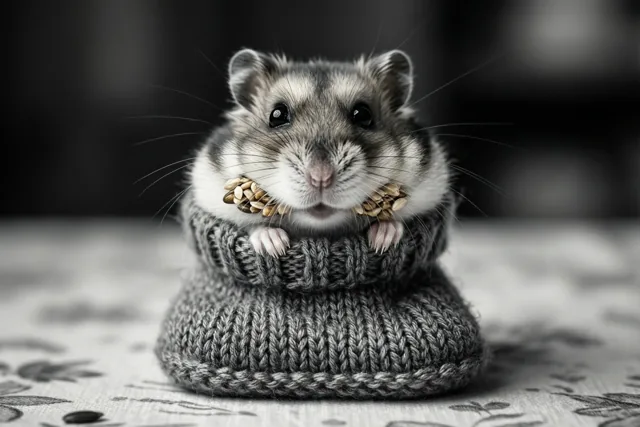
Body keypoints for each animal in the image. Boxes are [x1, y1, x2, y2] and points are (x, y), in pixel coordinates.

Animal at [189, 48, 451, 257]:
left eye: (363, 115)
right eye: (277, 115)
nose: (321, 178)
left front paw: (383, 240)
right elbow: (253, 226)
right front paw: (275, 247)